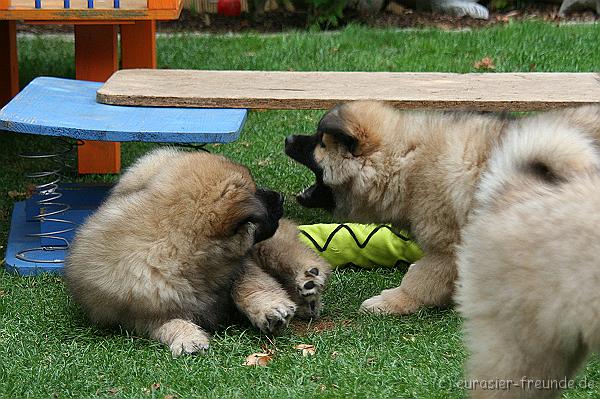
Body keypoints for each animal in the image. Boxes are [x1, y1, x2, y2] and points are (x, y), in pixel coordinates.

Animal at [63, 148, 330, 358]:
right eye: (256, 192)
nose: (281, 197)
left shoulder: (240, 265)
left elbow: (250, 286)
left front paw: (270, 309)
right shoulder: (140, 314)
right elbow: (169, 323)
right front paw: (188, 339)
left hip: (269, 245)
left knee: (290, 251)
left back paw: (308, 279)